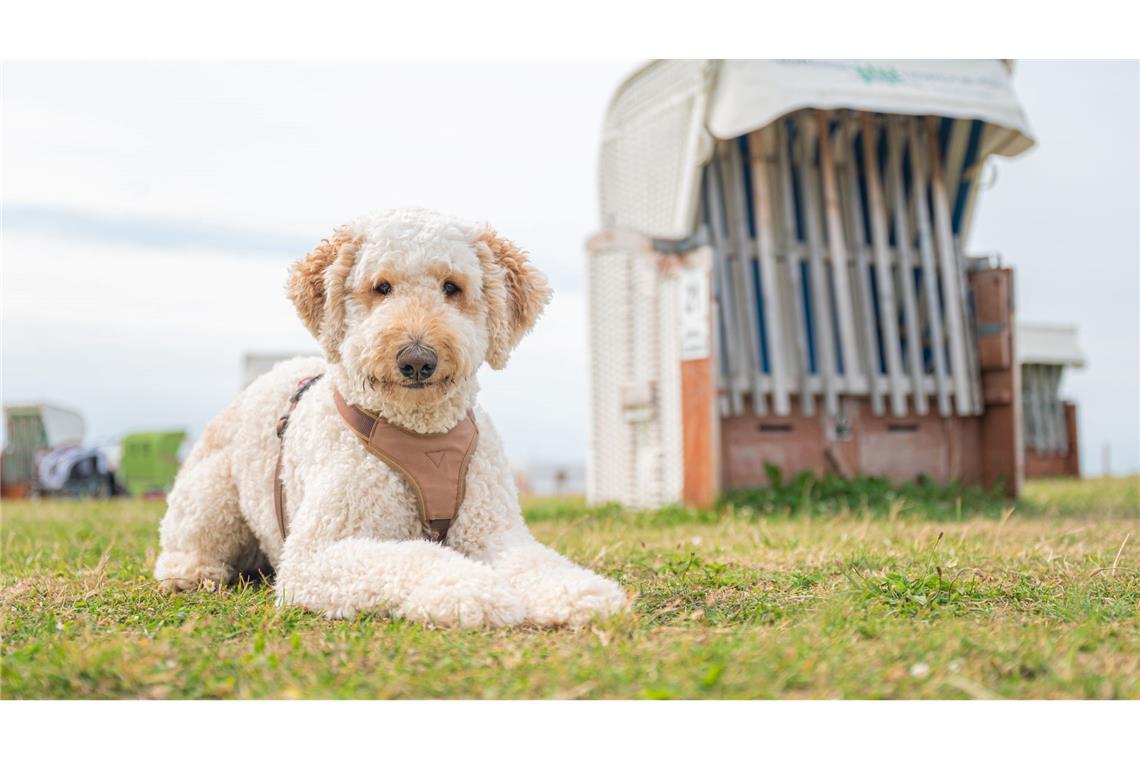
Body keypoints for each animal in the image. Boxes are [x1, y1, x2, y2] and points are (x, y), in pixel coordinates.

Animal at [152, 209, 629, 628]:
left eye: (451, 287)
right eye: (381, 287)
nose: (417, 360)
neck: (420, 433)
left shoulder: (494, 532)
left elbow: (533, 561)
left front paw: (580, 592)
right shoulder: (317, 554)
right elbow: (419, 556)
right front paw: (469, 591)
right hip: (210, 498)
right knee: (183, 546)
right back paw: (191, 572)